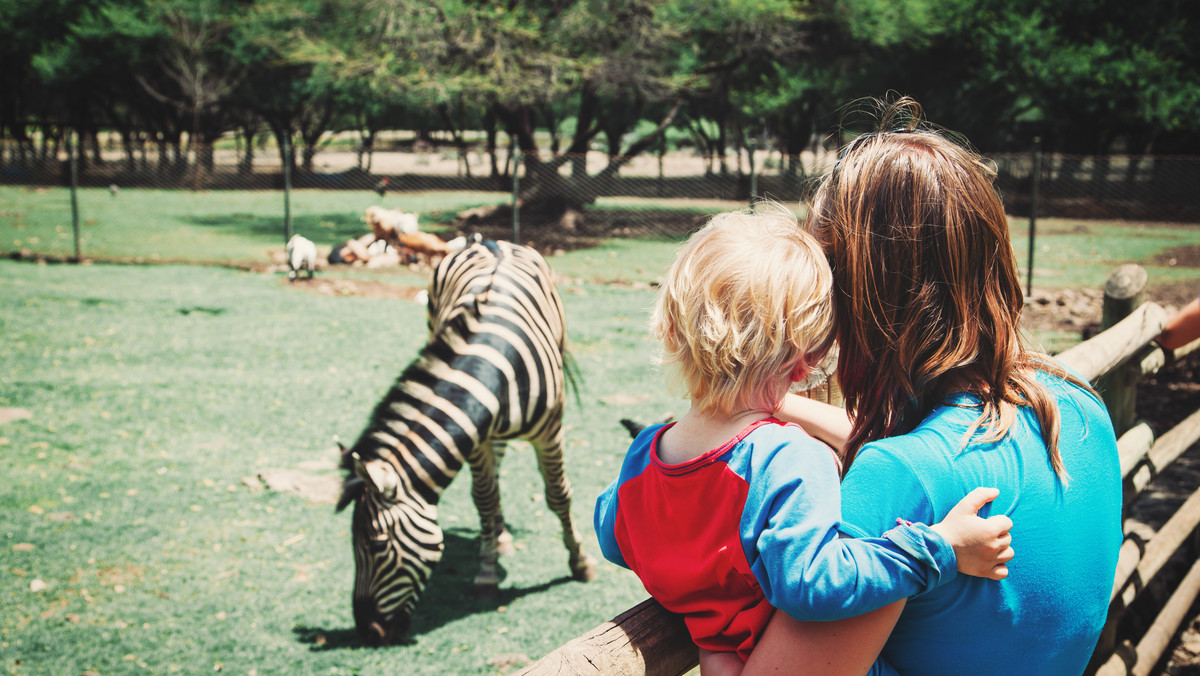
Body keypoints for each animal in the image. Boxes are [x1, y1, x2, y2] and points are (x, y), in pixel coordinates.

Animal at [336, 240, 597, 648]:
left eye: (377, 544)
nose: (368, 632)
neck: (494, 363)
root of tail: (491, 241)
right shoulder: (477, 439)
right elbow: (485, 499)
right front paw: (487, 574)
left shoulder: (550, 430)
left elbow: (558, 495)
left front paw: (580, 562)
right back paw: (500, 537)